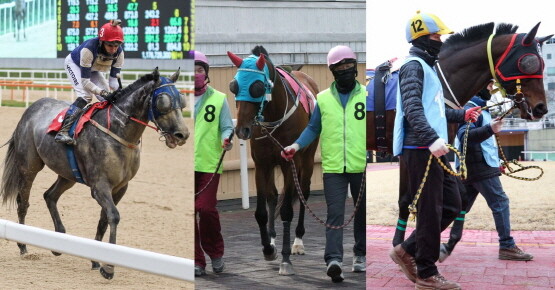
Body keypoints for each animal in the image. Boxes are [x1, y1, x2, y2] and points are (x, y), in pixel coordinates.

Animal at [0, 67, 189, 278]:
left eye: (181, 100)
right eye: (163, 101)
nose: (182, 134)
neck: (118, 132)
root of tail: (32, 108)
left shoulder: (120, 187)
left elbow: (104, 220)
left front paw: (96, 260)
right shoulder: (100, 186)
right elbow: (114, 216)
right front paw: (109, 267)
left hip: (67, 174)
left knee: (49, 196)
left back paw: (57, 242)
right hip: (29, 167)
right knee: (23, 202)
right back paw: (23, 246)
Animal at [227, 46, 322, 276]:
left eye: (257, 87)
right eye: (234, 86)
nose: (241, 130)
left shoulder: (290, 162)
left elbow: (287, 210)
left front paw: (286, 259)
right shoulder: (262, 164)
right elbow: (261, 211)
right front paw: (268, 248)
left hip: (306, 160)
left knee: (303, 194)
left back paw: (298, 242)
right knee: (273, 195)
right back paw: (271, 238)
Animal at [368, 22, 552, 249]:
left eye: (542, 64)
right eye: (528, 62)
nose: (541, 108)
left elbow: (460, 197)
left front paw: (447, 240)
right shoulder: (408, 150)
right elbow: (407, 200)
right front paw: (400, 244)